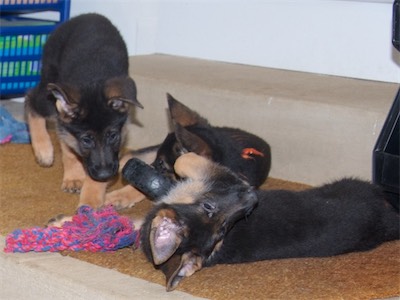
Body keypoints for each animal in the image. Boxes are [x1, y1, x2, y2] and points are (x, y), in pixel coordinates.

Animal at [25, 12, 144, 207]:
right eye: (86, 140)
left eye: (113, 136)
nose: (105, 175)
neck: (93, 80)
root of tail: (87, 15)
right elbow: (70, 147)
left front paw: (90, 199)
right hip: (49, 88)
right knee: (30, 99)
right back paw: (43, 149)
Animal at [139, 152, 398, 290]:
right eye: (209, 209)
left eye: (223, 230)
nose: (252, 194)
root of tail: (387, 223)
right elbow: (183, 159)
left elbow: (182, 159)